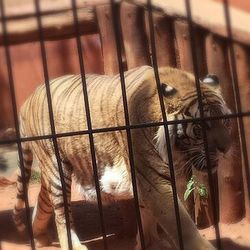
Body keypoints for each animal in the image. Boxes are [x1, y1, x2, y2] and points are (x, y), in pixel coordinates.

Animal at [12, 65, 230, 249]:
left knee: (43, 201)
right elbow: (181, 224)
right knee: (61, 213)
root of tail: (28, 100)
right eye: (201, 128)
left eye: (225, 120)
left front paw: (150, 243)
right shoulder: (154, 181)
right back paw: (72, 245)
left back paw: (39, 237)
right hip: (56, 168)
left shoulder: (147, 181)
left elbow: (147, 216)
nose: (225, 148)